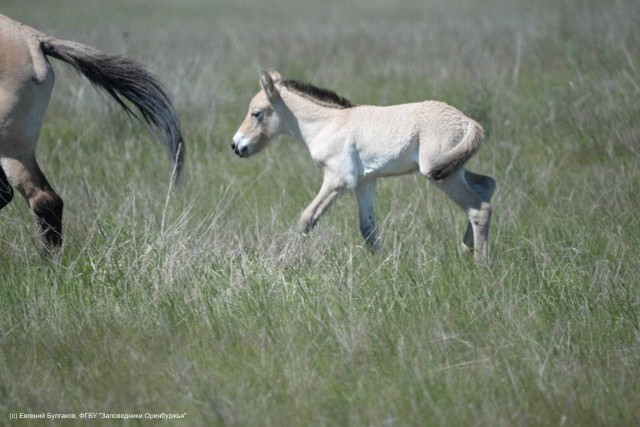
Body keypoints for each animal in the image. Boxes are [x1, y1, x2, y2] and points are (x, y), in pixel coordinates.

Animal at [234, 69, 496, 262]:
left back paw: (480, 265)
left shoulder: (338, 179)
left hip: (439, 174)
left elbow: (307, 218)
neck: (328, 124)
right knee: (486, 185)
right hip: (454, 169)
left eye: (256, 113)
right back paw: (465, 249)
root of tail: (468, 122)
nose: (236, 145)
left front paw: (291, 258)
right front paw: (381, 267)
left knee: (479, 209)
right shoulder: (364, 183)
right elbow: (368, 228)